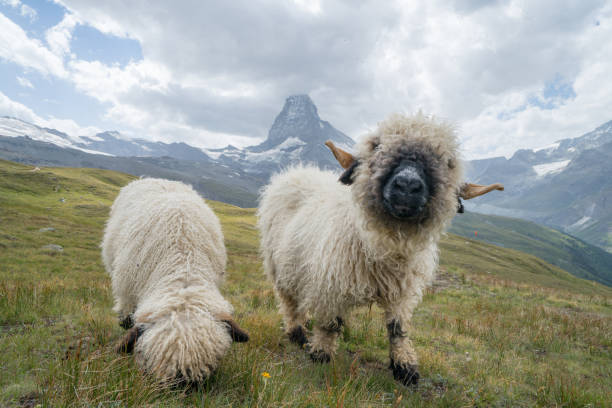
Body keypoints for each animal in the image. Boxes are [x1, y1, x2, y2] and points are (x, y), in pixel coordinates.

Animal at [256, 112, 502, 386]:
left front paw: (405, 367)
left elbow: (397, 328)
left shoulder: (402, 292)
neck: (386, 245)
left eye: (447, 162)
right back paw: (296, 333)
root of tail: (297, 171)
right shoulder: (331, 284)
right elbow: (330, 324)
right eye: (377, 146)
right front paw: (321, 355)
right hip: (279, 265)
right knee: (288, 302)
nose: (407, 185)